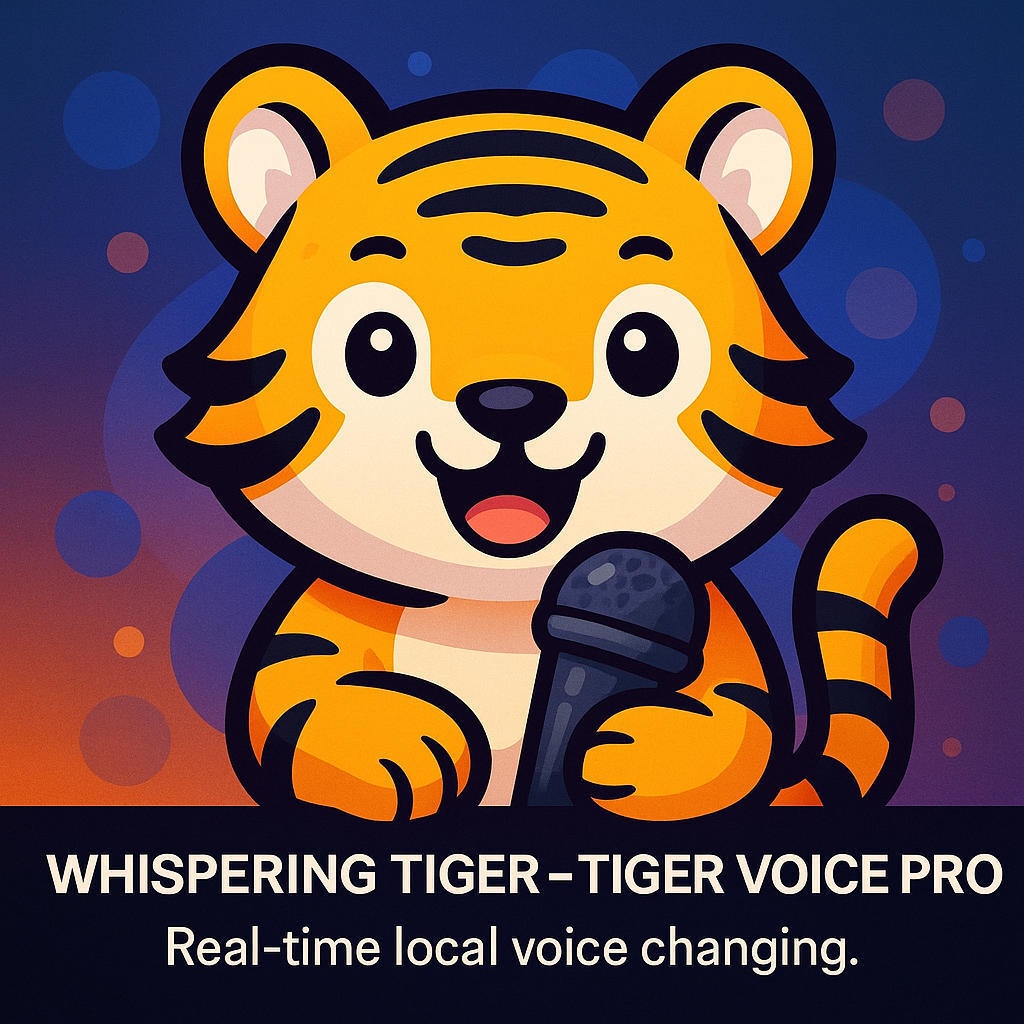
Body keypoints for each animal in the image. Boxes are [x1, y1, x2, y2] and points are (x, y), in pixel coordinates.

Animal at [156, 43, 942, 821]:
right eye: (376, 347)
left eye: (644, 347)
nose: (511, 402)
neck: (502, 614)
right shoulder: (333, 613)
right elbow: (297, 688)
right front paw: (397, 737)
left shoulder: (709, 620)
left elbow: (739, 719)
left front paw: (640, 748)